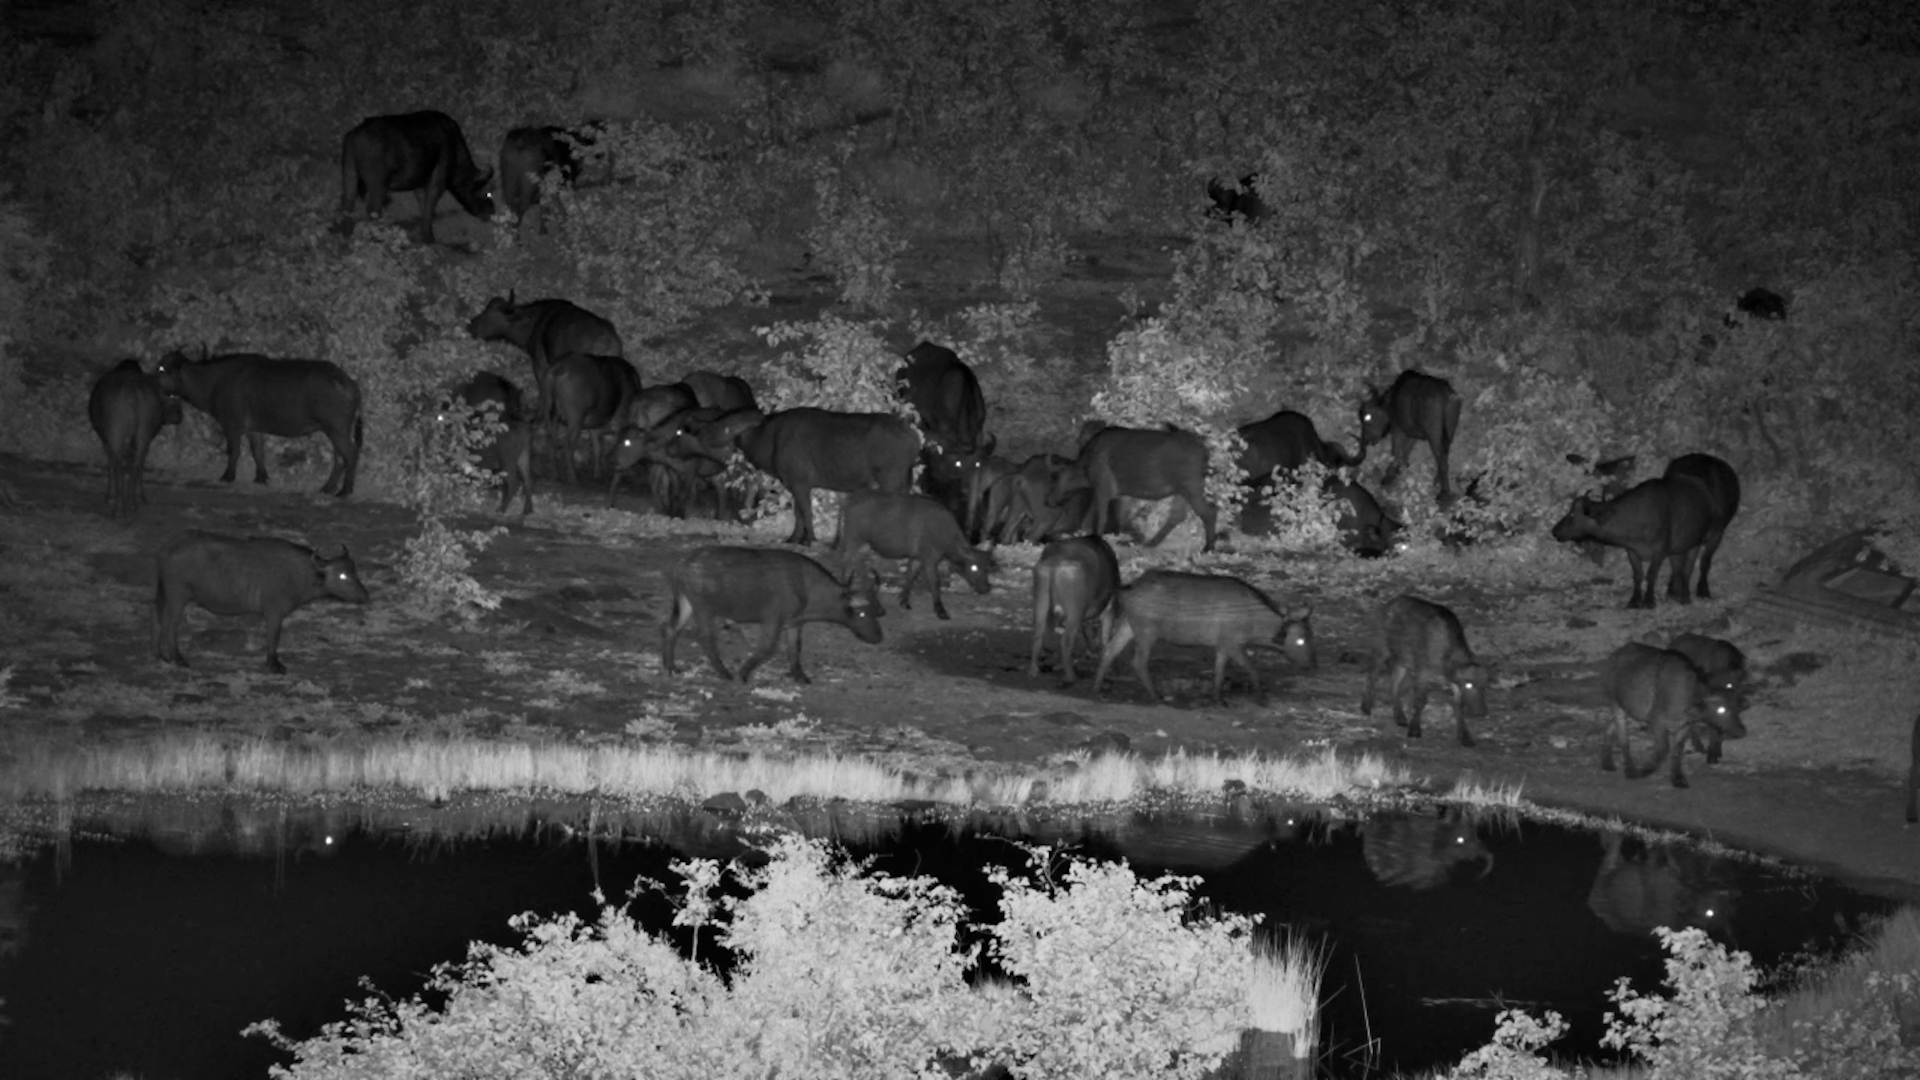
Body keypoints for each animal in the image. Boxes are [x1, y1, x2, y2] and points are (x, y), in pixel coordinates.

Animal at [154, 350, 363, 498]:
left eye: (161, 368)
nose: (149, 380)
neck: (214, 381)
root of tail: (349, 383)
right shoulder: (253, 429)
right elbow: (258, 452)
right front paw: (261, 478)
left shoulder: (232, 424)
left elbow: (234, 451)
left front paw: (227, 477)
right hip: (335, 431)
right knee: (339, 458)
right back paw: (327, 488)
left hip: (337, 430)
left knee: (351, 453)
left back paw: (345, 491)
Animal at [339, 111, 494, 244]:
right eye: (487, 192)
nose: (490, 215)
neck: (454, 146)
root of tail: (356, 135)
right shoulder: (437, 181)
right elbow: (429, 207)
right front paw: (429, 237)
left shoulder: (419, 184)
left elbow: (422, 205)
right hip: (378, 186)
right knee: (373, 209)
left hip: (350, 173)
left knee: (348, 202)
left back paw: (347, 233)